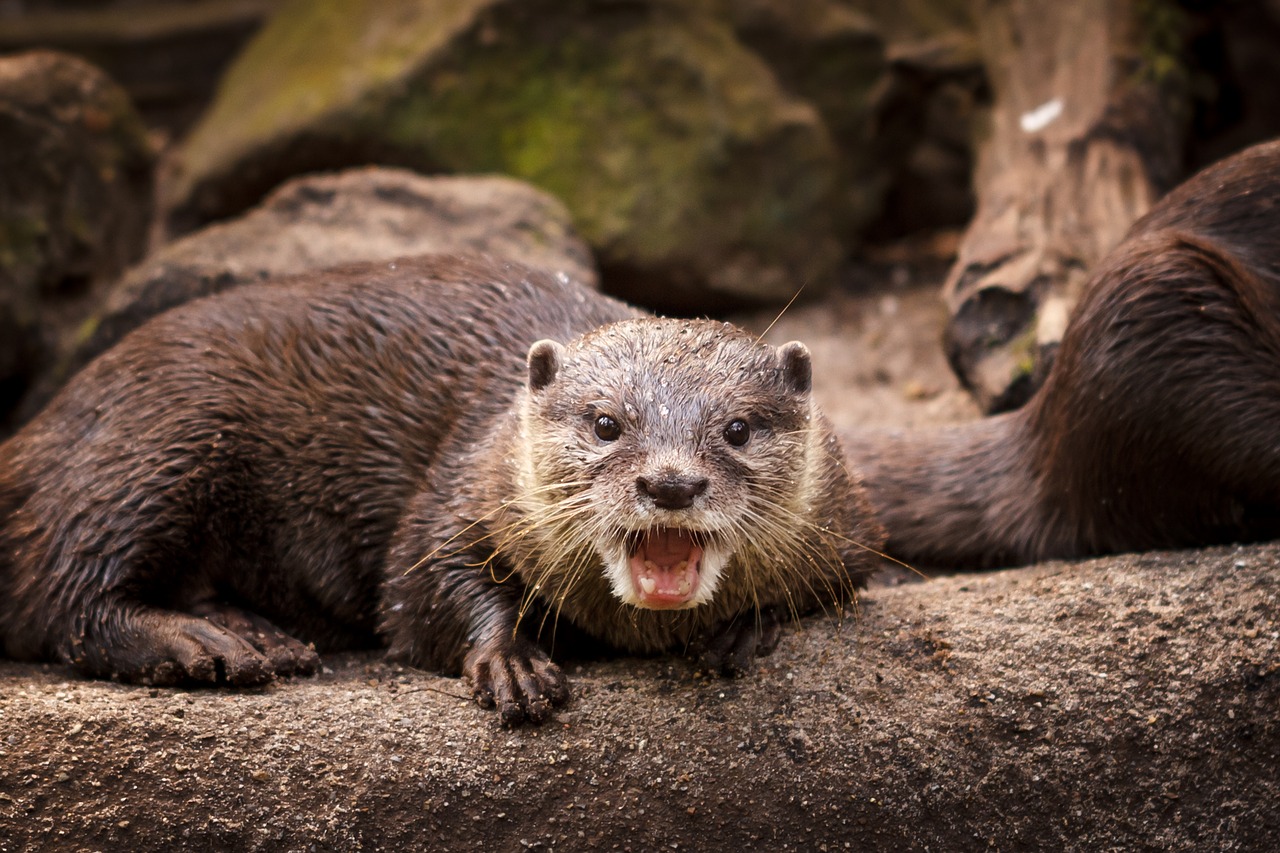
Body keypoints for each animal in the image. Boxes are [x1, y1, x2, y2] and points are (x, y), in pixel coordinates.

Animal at [0, 251, 880, 717]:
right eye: (606, 423)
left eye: (736, 428)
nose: (670, 483)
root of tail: (41, 427)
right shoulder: (460, 488)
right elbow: (420, 588)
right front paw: (511, 663)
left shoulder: (850, 527)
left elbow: (835, 581)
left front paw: (743, 630)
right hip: (153, 445)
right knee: (66, 590)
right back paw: (204, 645)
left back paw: (254, 635)